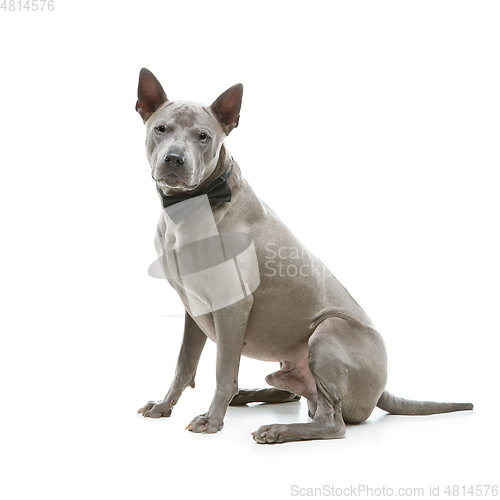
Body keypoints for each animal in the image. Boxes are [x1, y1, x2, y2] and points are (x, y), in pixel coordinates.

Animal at [134, 68, 472, 444]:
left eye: (203, 136)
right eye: (161, 128)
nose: (174, 159)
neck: (193, 205)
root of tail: (382, 388)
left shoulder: (232, 306)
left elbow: (223, 371)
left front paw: (212, 419)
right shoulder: (193, 307)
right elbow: (184, 364)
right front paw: (163, 406)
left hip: (328, 330)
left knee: (332, 420)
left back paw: (276, 429)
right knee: (292, 392)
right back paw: (251, 396)